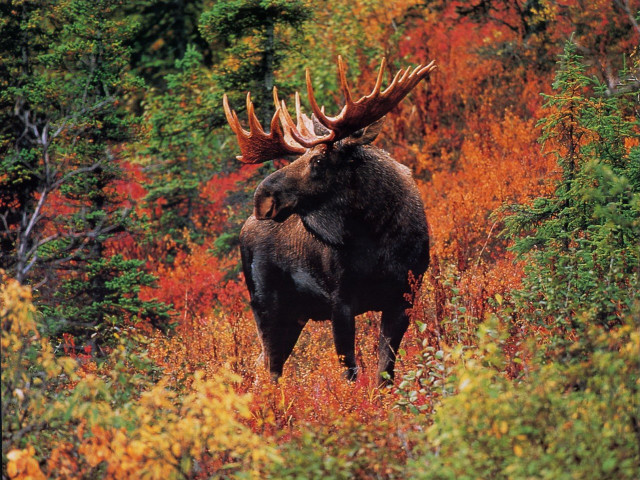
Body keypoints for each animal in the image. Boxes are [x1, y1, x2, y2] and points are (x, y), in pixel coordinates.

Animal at [223, 56, 435, 385]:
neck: (378, 236)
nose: (262, 198)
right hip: (265, 304)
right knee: (269, 369)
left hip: (294, 314)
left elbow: (385, 370)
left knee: (263, 366)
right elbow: (350, 372)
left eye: (318, 160)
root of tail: (245, 227)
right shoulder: (340, 300)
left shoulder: (404, 295)